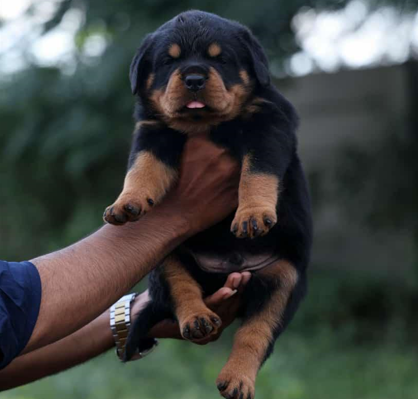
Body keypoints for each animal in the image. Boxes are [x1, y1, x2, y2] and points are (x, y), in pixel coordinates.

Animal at [103, 10, 314, 399]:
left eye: (221, 59)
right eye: (168, 61)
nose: (194, 78)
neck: (207, 125)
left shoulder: (268, 124)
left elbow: (257, 170)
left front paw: (252, 215)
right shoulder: (153, 132)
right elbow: (141, 169)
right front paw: (126, 203)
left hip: (283, 278)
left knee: (255, 333)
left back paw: (237, 379)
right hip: (165, 254)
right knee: (181, 287)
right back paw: (198, 319)